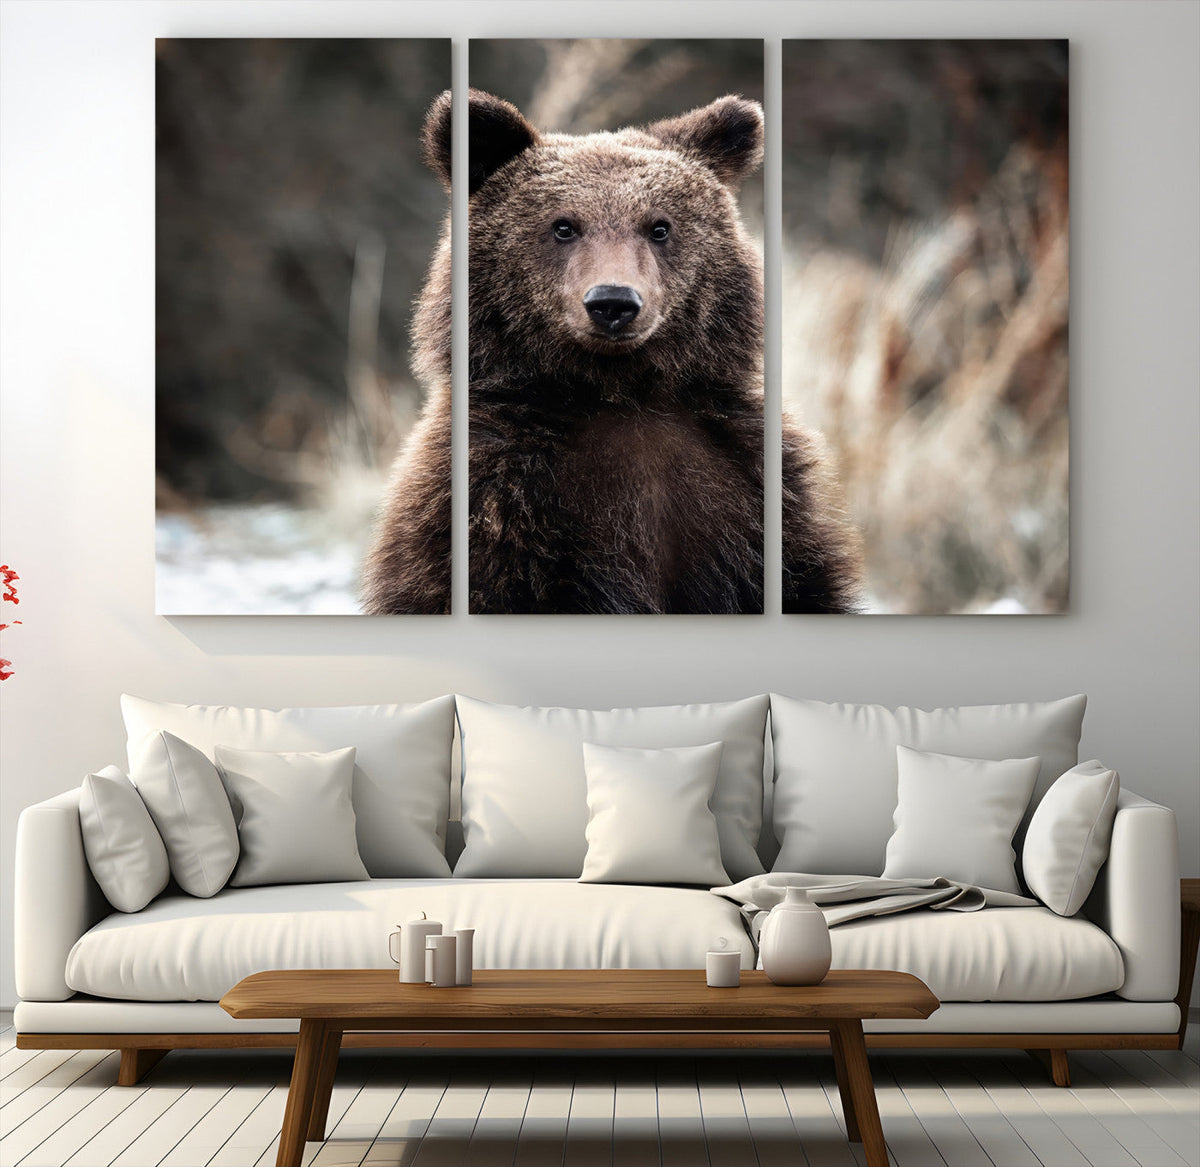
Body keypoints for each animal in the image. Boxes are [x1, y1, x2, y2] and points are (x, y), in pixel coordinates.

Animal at [362, 89, 861, 615]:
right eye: (563, 226)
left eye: (659, 227)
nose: (613, 302)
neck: (620, 391)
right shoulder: (496, 501)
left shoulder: (752, 492)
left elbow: (803, 583)